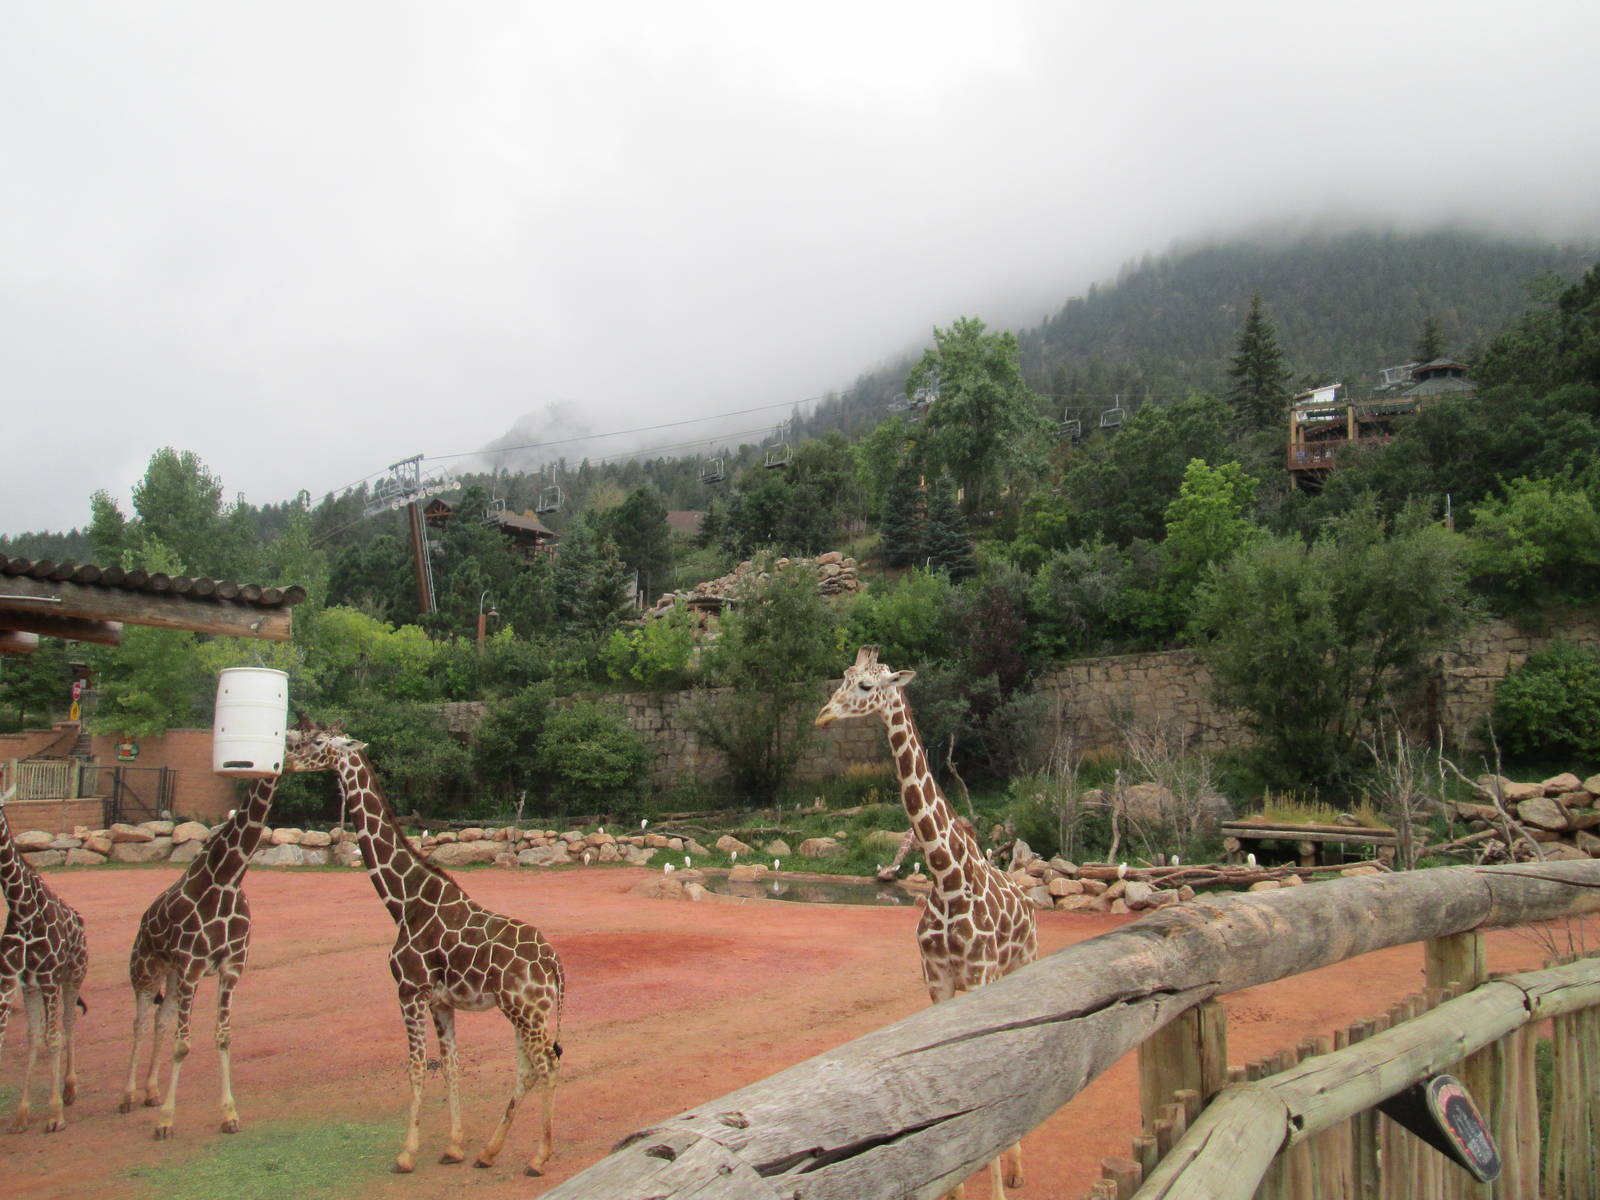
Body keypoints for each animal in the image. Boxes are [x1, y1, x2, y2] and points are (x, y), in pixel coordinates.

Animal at [0, 795, 88, 1134]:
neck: (22, 909)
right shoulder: (16, 979)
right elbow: (31, 1040)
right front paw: (20, 1117)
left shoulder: (50, 977)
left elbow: (53, 1039)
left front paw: (55, 1115)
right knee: (42, 1034)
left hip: (73, 975)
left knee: (68, 1023)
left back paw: (70, 1090)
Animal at [119, 773, 286, 1139]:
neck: (226, 877)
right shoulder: (192, 967)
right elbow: (183, 1045)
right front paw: (166, 1122)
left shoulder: (230, 967)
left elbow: (222, 1037)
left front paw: (230, 1116)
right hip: (145, 970)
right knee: (139, 1023)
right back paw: (126, 1097)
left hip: (171, 974)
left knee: (161, 1020)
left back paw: (151, 1092)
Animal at [283, 719, 564, 1176]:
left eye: (319, 742)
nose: (288, 761)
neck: (404, 900)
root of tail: (555, 964)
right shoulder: (439, 1001)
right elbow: (449, 1065)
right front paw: (454, 1146)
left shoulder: (408, 991)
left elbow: (415, 1066)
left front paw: (406, 1154)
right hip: (526, 1012)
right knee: (528, 1068)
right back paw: (488, 1152)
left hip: (524, 1009)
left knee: (547, 1064)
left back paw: (539, 1158)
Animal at [816, 645, 1036, 1199]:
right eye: (843, 676)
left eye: (868, 686)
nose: (823, 716)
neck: (946, 875)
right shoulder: (936, 980)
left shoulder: (978, 977)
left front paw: (998, 1180)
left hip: (1021, 967)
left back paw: (1016, 1167)